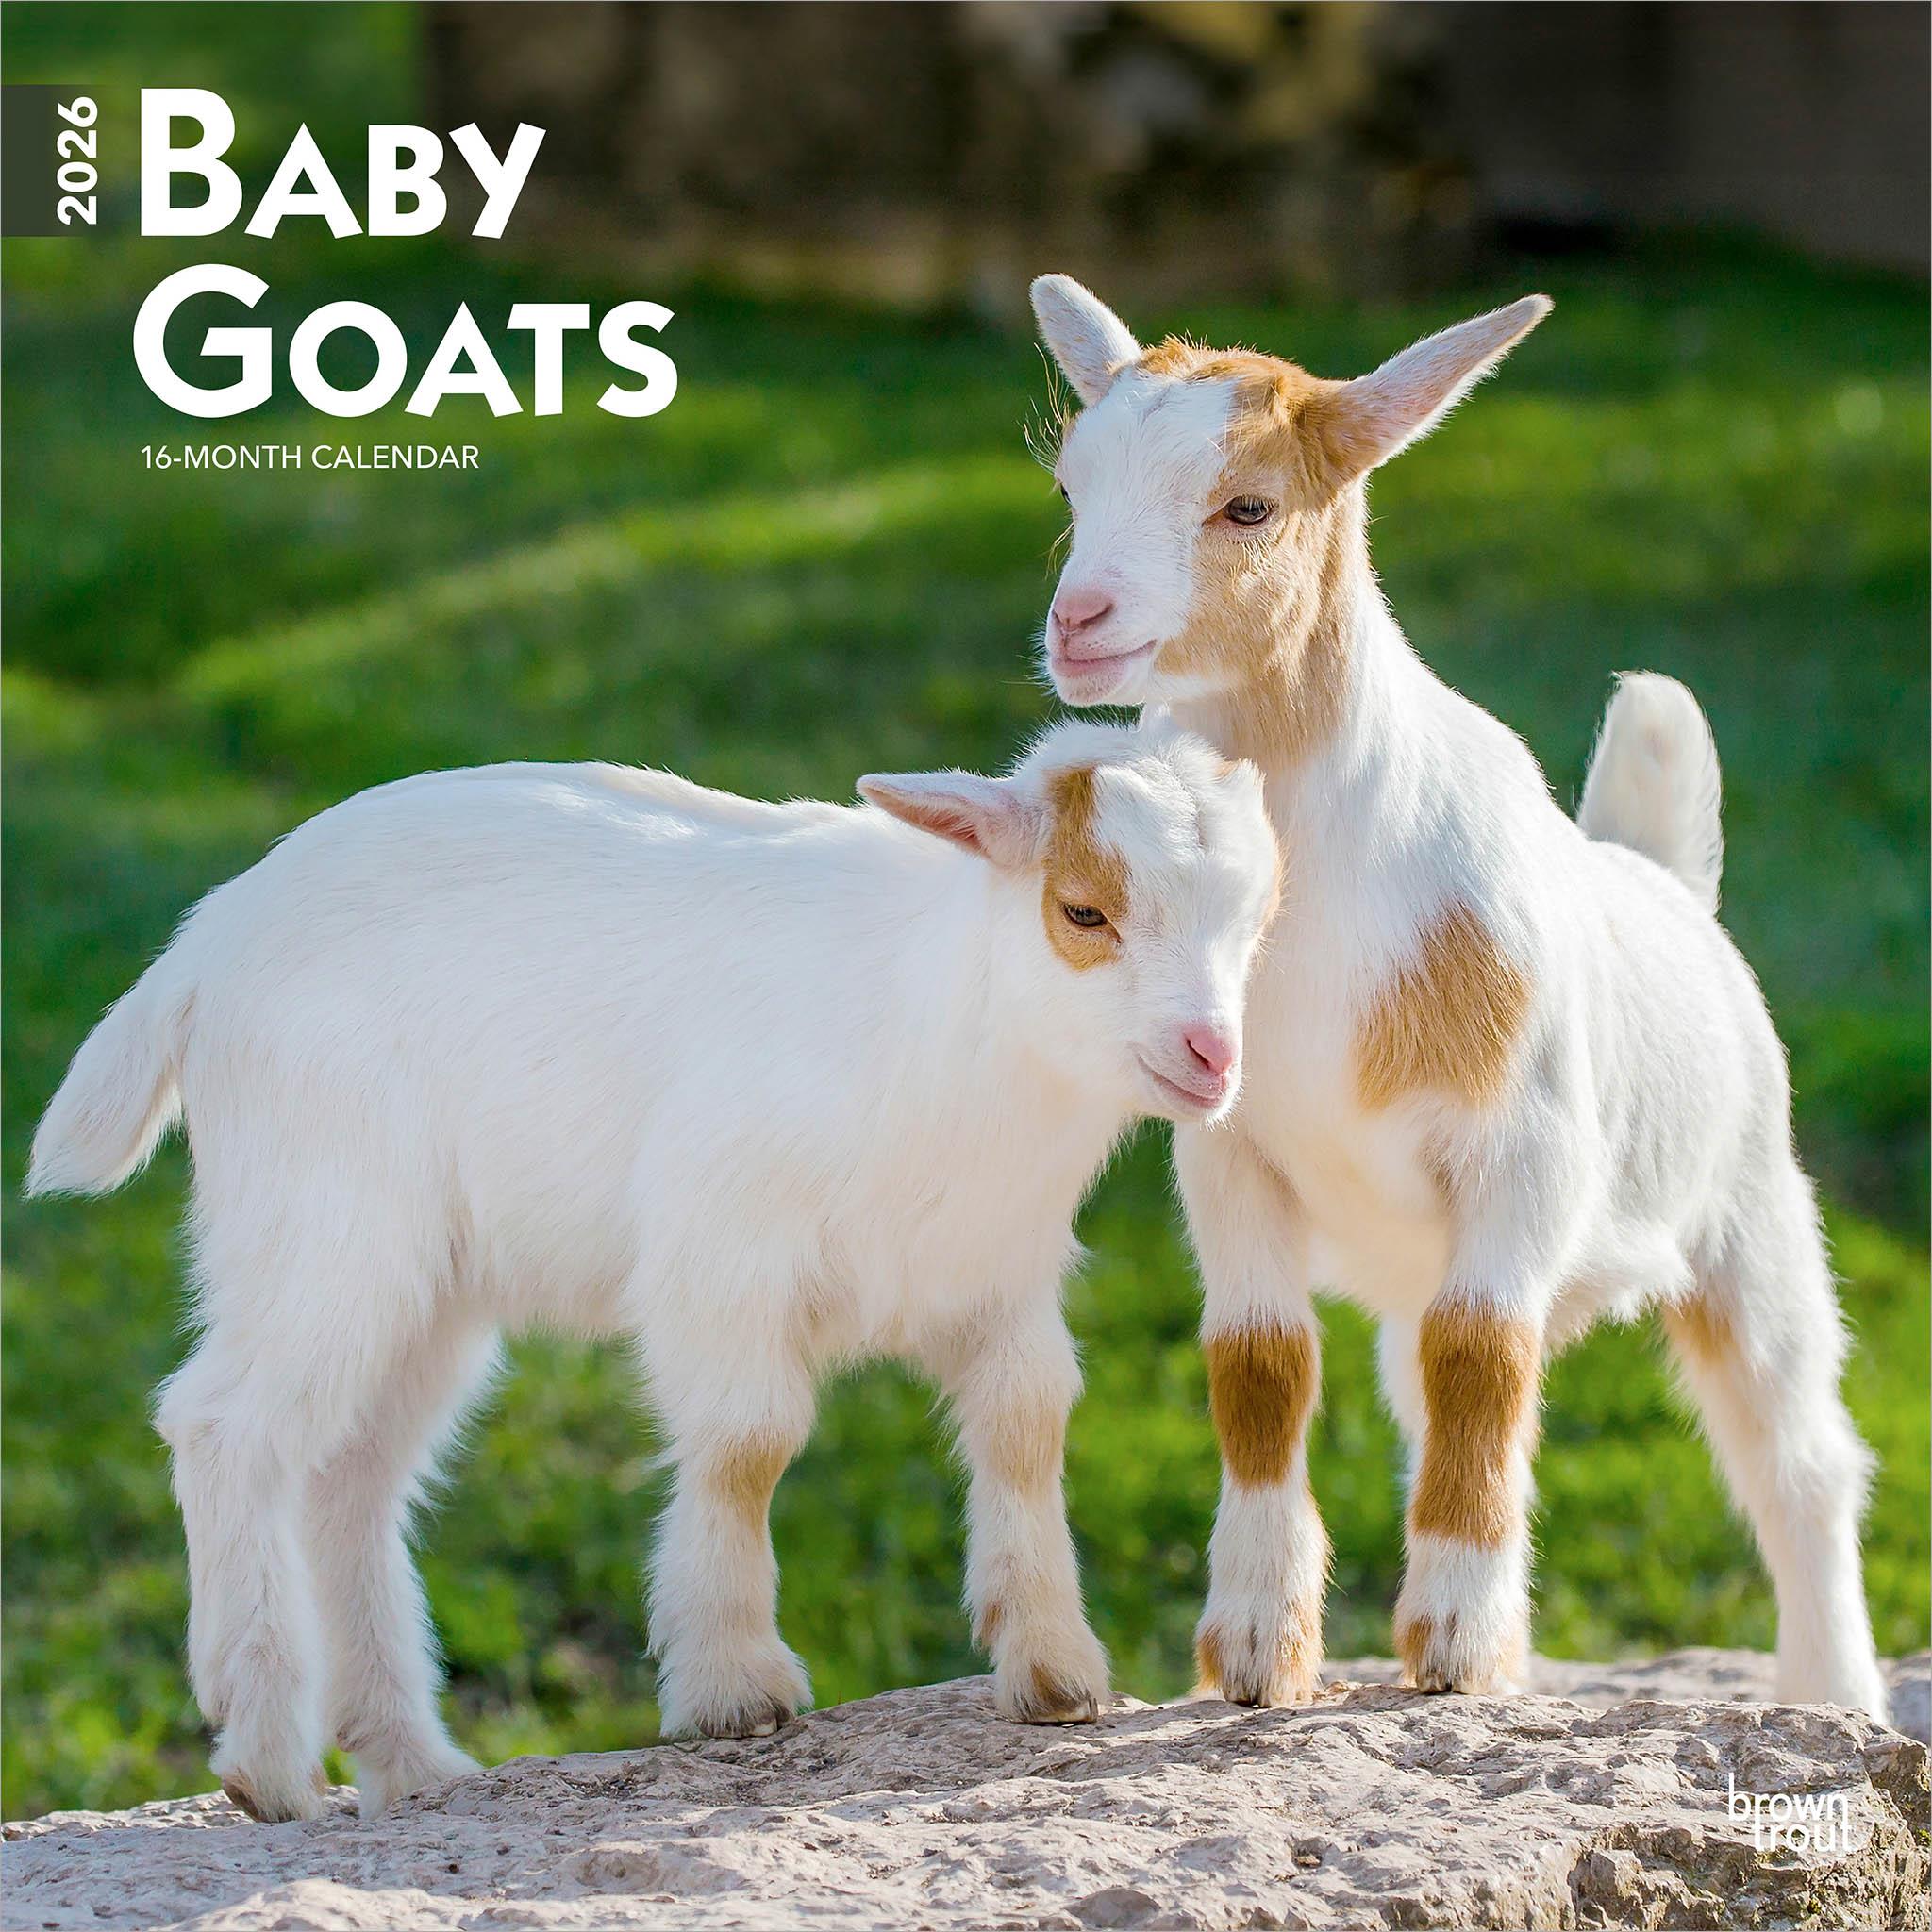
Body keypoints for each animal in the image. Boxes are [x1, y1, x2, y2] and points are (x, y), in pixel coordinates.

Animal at [28, 721, 1280, 1820]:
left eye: (1256, 915)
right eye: (1082, 909)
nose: (1212, 1056)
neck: (952, 1016)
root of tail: (199, 954)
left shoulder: (995, 1275)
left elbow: (1026, 1426)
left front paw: (1056, 1671)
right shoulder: (719, 1250)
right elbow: (746, 1443)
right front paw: (733, 1684)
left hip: (429, 1290)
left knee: (351, 1476)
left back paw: (414, 1765)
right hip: (325, 1226)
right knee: (225, 1425)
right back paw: (269, 1763)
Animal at [1027, 273, 1888, 1721]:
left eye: (1248, 504)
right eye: (1070, 478)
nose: (1078, 623)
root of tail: (1660, 878)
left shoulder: (1524, 1146)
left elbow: (1484, 1354)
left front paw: (1453, 1648)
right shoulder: (1226, 1150)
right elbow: (1262, 1364)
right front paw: (1257, 1649)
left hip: (1753, 1214)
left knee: (1795, 1458)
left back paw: (1835, 1698)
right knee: (1429, 1391)